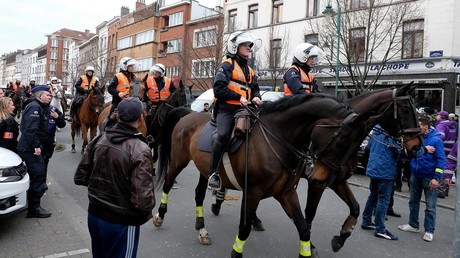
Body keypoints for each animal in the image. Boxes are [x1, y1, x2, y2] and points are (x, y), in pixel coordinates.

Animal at [153, 94, 376, 258]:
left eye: (357, 142)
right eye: (343, 140)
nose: (323, 178)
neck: (278, 139)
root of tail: (188, 114)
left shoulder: (286, 193)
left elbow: (304, 227)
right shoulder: (252, 193)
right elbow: (244, 228)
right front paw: (237, 253)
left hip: (204, 170)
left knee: (199, 193)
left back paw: (202, 229)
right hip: (178, 162)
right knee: (167, 184)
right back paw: (159, 216)